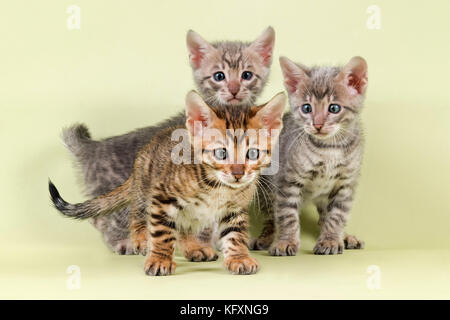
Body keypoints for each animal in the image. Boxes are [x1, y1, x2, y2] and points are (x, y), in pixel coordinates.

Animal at [50, 90, 284, 276]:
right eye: (221, 153)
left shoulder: (234, 208)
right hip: (145, 187)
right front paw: (160, 259)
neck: (217, 187)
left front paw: (238, 258)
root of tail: (150, 143)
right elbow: (162, 232)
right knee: (138, 215)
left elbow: (235, 234)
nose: (238, 173)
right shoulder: (163, 196)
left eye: (252, 153)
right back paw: (141, 240)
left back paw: (193, 247)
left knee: (183, 228)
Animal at [62, 26, 276, 255]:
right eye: (219, 76)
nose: (234, 89)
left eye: (247, 75)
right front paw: (203, 244)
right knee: (108, 218)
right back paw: (125, 242)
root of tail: (92, 147)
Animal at [251, 56, 368, 256]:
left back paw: (343, 237)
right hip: (266, 189)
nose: (318, 124)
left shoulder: (345, 184)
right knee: (271, 217)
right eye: (306, 108)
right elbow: (287, 215)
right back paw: (267, 238)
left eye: (334, 108)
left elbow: (337, 216)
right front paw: (285, 242)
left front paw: (330, 239)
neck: (329, 148)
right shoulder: (287, 181)